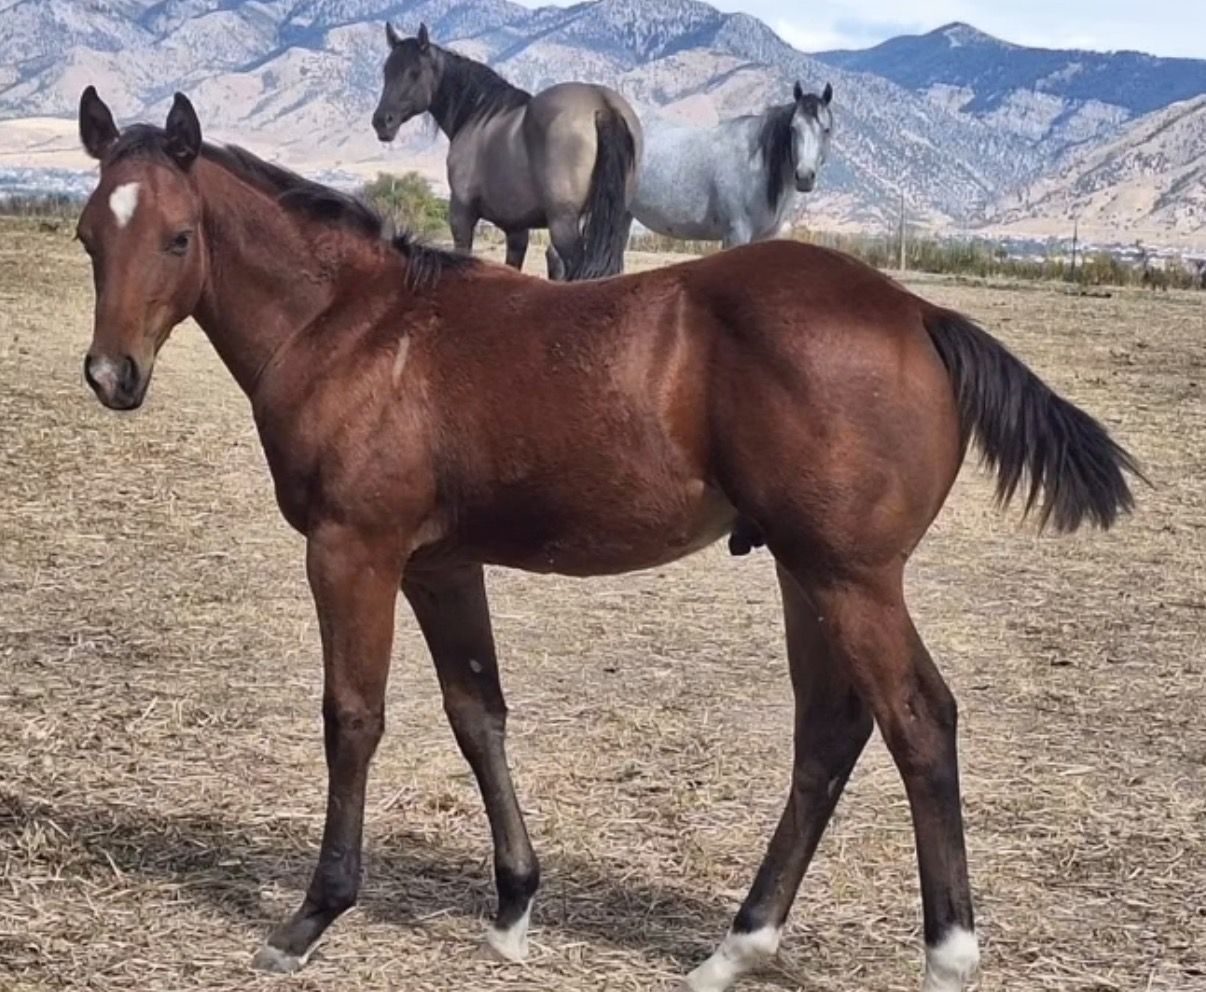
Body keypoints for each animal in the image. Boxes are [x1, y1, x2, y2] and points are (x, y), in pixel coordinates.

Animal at [371, 22, 641, 281]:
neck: (476, 114)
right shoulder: (517, 230)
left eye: (414, 72)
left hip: (564, 224)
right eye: (386, 71)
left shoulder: (462, 214)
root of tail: (603, 106)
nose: (381, 121)